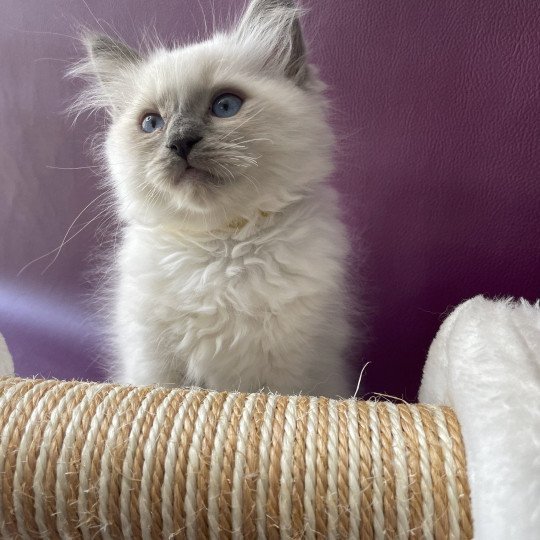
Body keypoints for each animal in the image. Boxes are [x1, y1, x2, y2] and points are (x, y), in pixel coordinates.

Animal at [75, 0, 354, 396]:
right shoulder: (155, 363)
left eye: (225, 106)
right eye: (152, 124)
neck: (220, 244)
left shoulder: (293, 373)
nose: (180, 143)